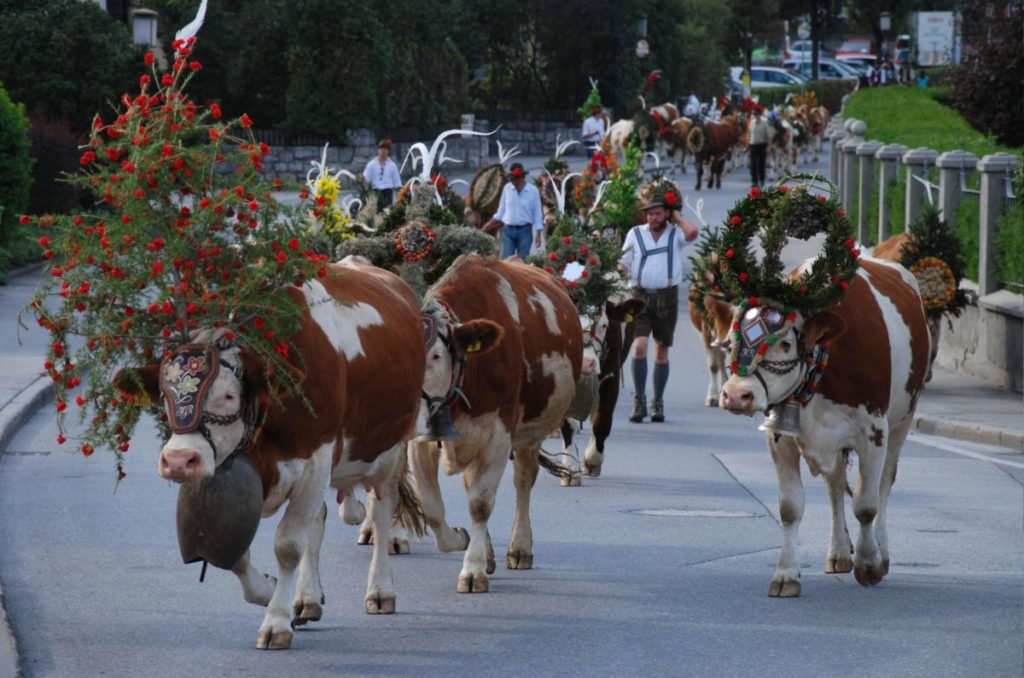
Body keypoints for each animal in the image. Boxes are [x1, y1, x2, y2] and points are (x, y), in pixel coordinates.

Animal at [116, 259, 428, 647]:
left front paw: (276, 622)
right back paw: (308, 598)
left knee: (382, 513)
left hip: (390, 449)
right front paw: (270, 590)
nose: (178, 461)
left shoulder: (316, 459)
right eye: (163, 393)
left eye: (229, 396)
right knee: (318, 522)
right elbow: (235, 552)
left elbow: (288, 545)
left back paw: (381, 590)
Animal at [565, 301, 643, 481]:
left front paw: (592, 460)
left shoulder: (611, 378)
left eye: (604, 325)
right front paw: (570, 469)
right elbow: (569, 425)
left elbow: (602, 422)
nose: (587, 363)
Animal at [704, 178, 929, 598]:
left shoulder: (872, 431)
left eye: (784, 344)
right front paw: (786, 575)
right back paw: (839, 552)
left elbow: (867, 504)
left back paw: (881, 552)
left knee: (884, 485)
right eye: (731, 340)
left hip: (903, 419)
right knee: (835, 484)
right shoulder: (781, 434)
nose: (736, 395)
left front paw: (869, 563)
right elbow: (791, 507)